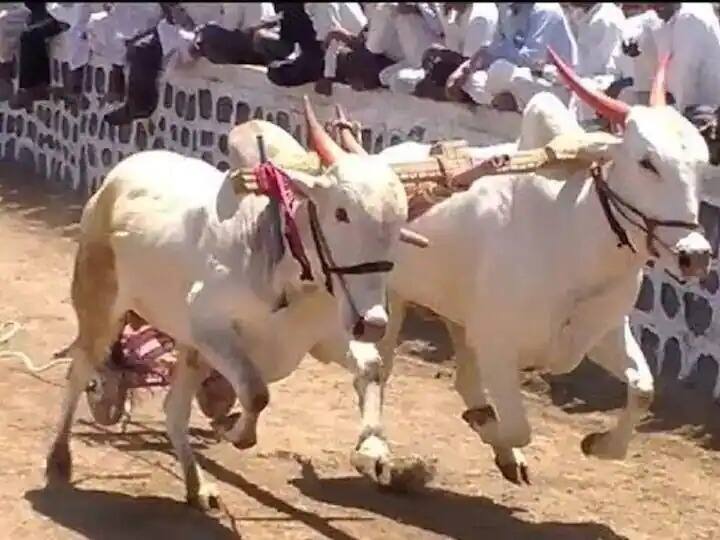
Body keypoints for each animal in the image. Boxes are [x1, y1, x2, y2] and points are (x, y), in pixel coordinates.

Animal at [47, 96, 430, 506]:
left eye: (400, 219)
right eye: (342, 212)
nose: (372, 323)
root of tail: (118, 176)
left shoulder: (322, 339)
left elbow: (371, 369)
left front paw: (377, 455)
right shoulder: (212, 333)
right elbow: (255, 393)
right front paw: (234, 430)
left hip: (188, 349)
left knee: (173, 412)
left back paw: (197, 486)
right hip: (101, 306)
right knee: (81, 370)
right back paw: (59, 459)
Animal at [334, 48, 716, 484]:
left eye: (702, 164)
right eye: (647, 162)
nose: (695, 255)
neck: (574, 239)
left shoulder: (603, 332)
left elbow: (643, 389)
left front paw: (599, 444)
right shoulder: (498, 346)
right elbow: (520, 426)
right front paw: (488, 426)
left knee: (461, 378)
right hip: (389, 301)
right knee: (377, 368)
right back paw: (374, 450)